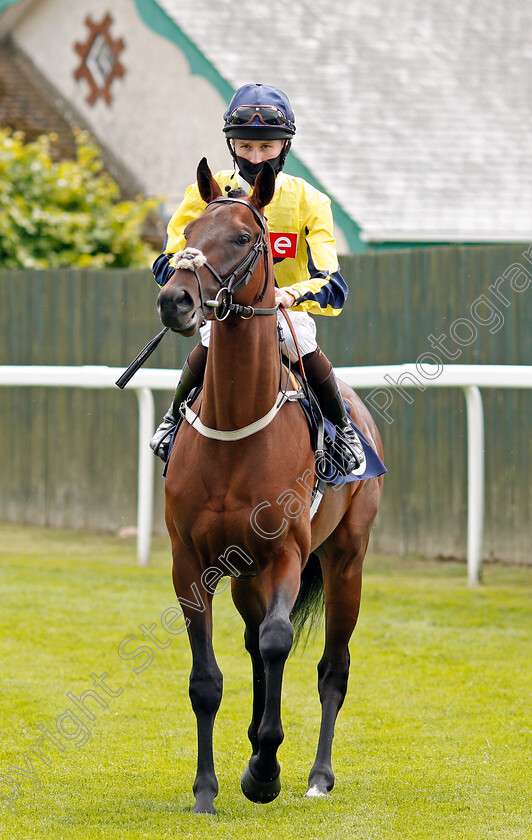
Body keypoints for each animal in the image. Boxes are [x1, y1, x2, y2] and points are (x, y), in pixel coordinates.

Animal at [156, 158, 384, 812]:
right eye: (188, 234)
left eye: (241, 237)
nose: (176, 300)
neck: (237, 430)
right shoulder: (191, 562)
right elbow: (208, 679)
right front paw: (208, 789)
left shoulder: (288, 552)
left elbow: (280, 642)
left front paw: (265, 770)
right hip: (245, 575)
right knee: (255, 645)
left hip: (345, 562)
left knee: (331, 666)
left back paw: (316, 775)